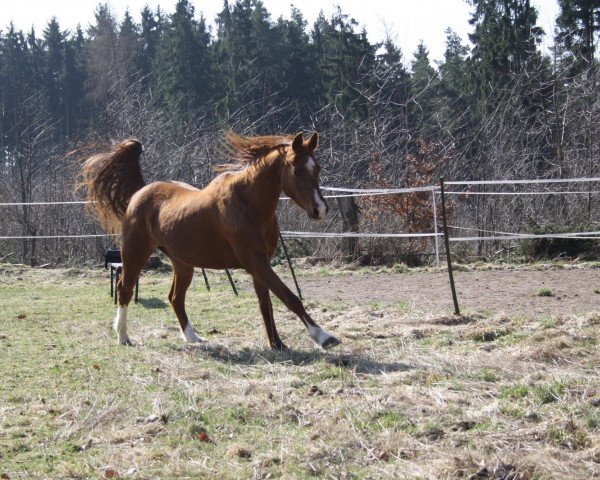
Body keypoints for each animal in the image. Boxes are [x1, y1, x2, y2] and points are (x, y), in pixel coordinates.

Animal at [80, 131, 342, 348]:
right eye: (297, 171)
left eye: (317, 168)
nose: (320, 210)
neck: (248, 204)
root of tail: (139, 192)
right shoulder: (255, 262)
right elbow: (289, 297)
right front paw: (324, 337)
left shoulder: (260, 263)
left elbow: (266, 304)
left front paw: (277, 344)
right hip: (135, 253)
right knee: (124, 289)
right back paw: (123, 336)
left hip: (182, 263)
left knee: (175, 297)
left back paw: (193, 338)